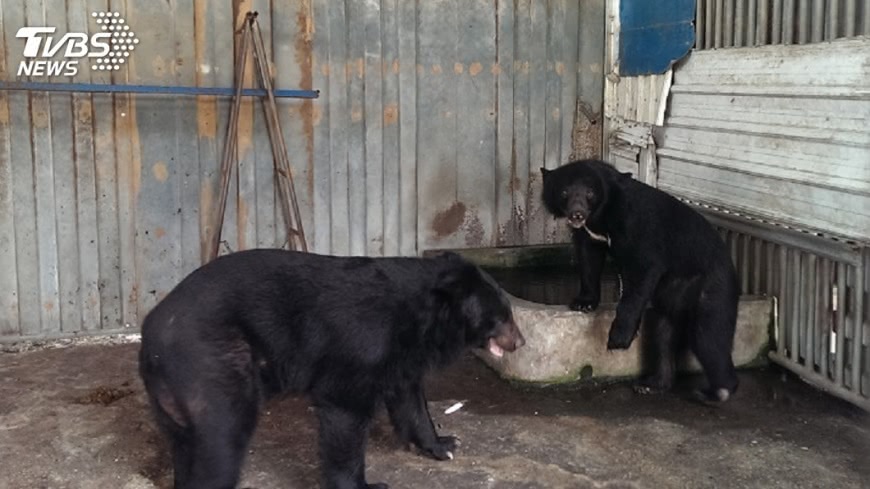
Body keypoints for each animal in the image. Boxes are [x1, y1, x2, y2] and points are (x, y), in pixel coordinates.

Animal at [138, 249, 525, 489]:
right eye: (503, 316)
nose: (520, 342)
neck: (424, 319)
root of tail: (151, 337)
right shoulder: (361, 344)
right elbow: (345, 412)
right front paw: (365, 484)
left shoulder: (401, 355)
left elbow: (410, 399)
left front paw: (443, 444)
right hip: (214, 364)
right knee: (222, 439)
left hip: (174, 397)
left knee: (185, 444)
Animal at [540, 159, 739, 403]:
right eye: (564, 192)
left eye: (590, 193)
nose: (577, 214)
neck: (602, 216)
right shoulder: (592, 235)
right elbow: (589, 258)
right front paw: (582, 303)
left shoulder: (635, 224)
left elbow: (644, 268)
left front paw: (617, 339)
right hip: (673, 297)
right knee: (664, 334)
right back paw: (651, 384)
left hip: (712, 287)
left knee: (709, 336)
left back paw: (716, 392)